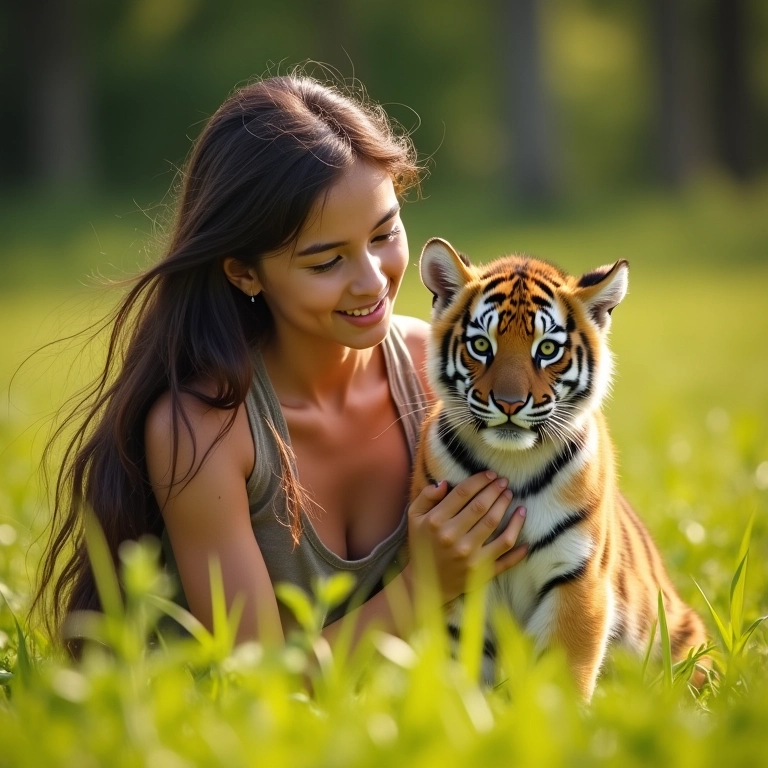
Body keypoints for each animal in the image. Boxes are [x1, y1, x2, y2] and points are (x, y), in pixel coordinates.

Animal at [410, 237, 707, 700]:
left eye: (547, 349)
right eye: (482, 346)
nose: (509, 403)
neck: (512, 461)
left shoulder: (577, 577)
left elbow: (558, 682)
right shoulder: (456, 575)